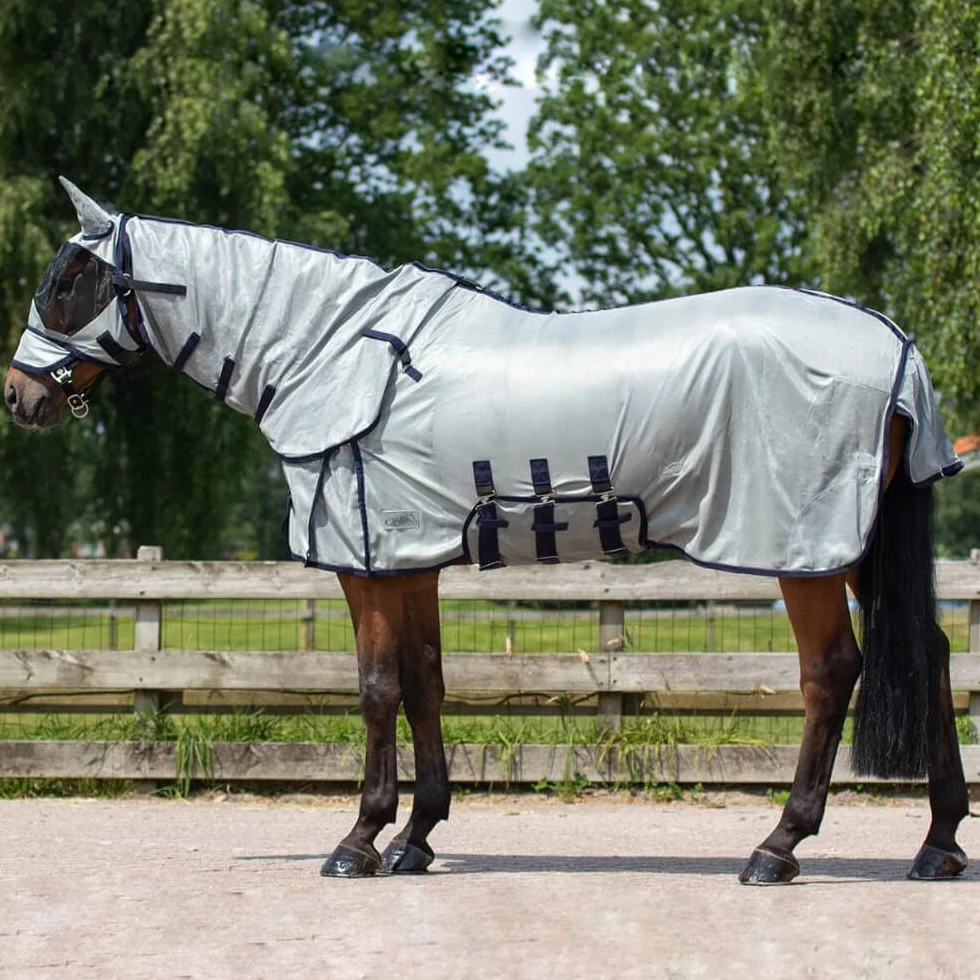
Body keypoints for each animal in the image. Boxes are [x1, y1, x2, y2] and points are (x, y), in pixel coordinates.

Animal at [4, 177, 969, 884]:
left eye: (67, 285)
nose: (19, 397)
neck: (333, 350)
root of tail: (895, 346)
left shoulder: (367, 562)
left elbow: (376, 688)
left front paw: (358, 842)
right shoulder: (408, 562)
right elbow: (426, 682)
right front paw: (416, 839)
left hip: (807, 552)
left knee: (830, 673)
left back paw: (778, 848)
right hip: (861, 547)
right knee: (928, 653)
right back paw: (939, 845)